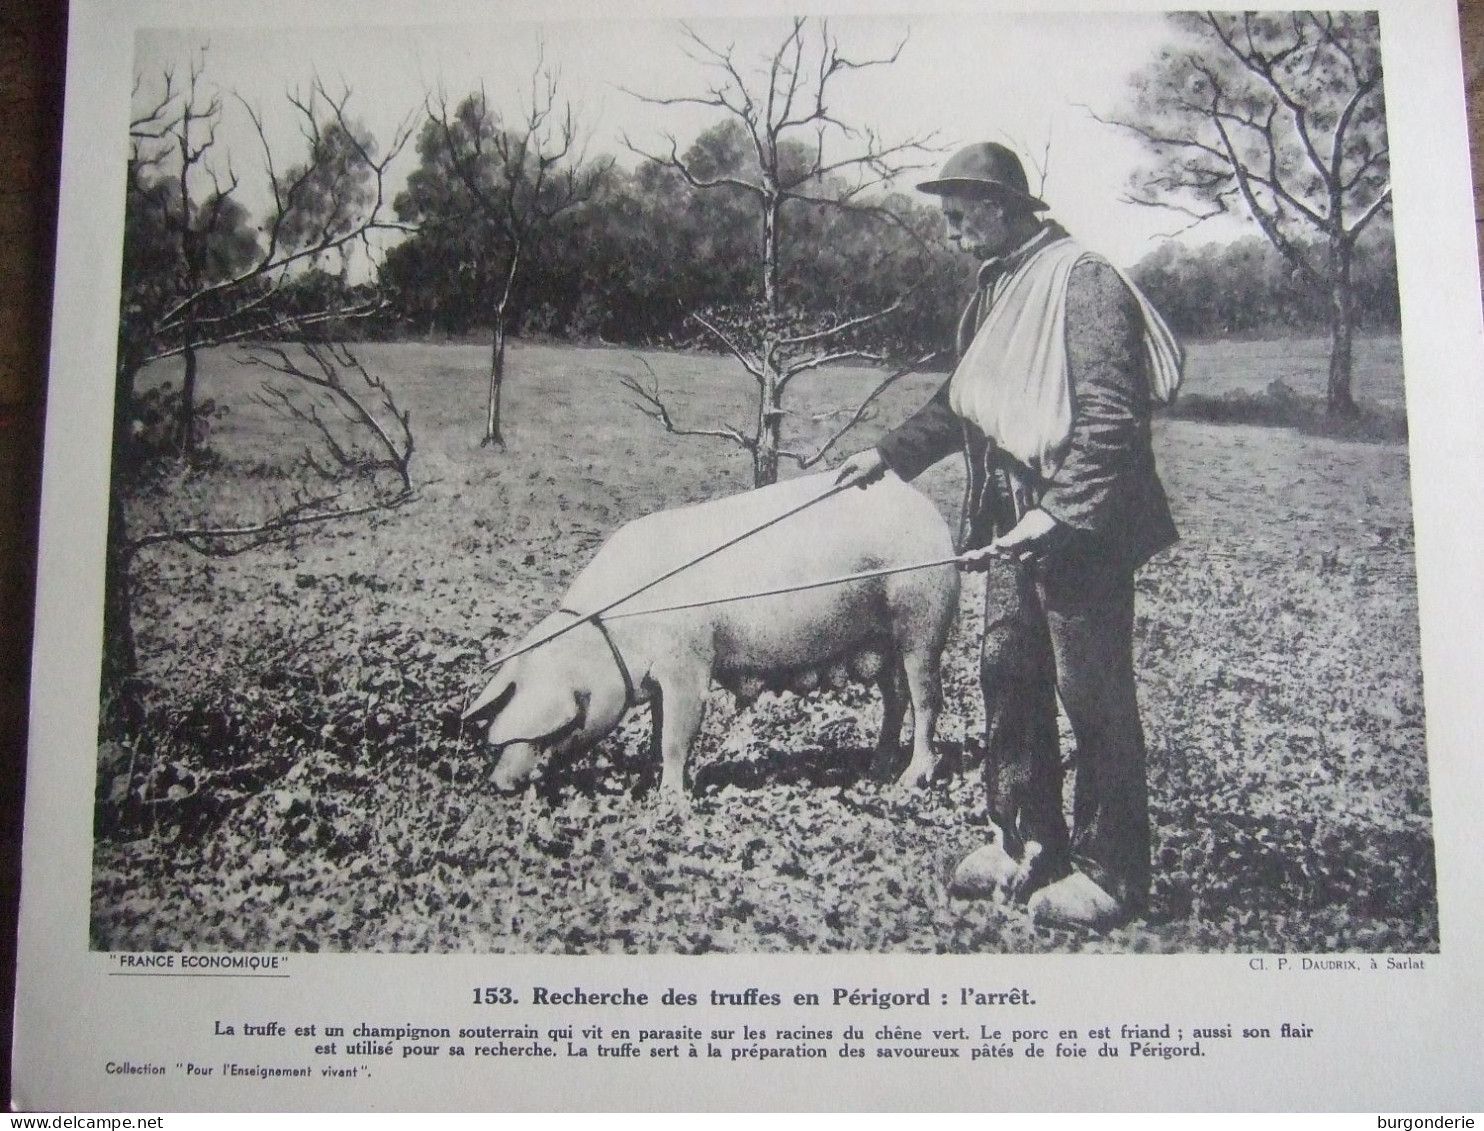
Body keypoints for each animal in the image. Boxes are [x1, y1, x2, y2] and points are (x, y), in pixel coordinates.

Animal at [457, 466, 955, 795]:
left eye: (561, 726)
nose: (500, 783)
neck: (613, 628)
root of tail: (929, 512)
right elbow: (659, 730)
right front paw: (651, 782)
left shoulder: (690, 663)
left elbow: (678, 733)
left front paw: (671, 802)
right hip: (884, 641)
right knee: (896, 698)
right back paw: (875, 770)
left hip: (924, 618)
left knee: (927, 698)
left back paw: (910, 780)